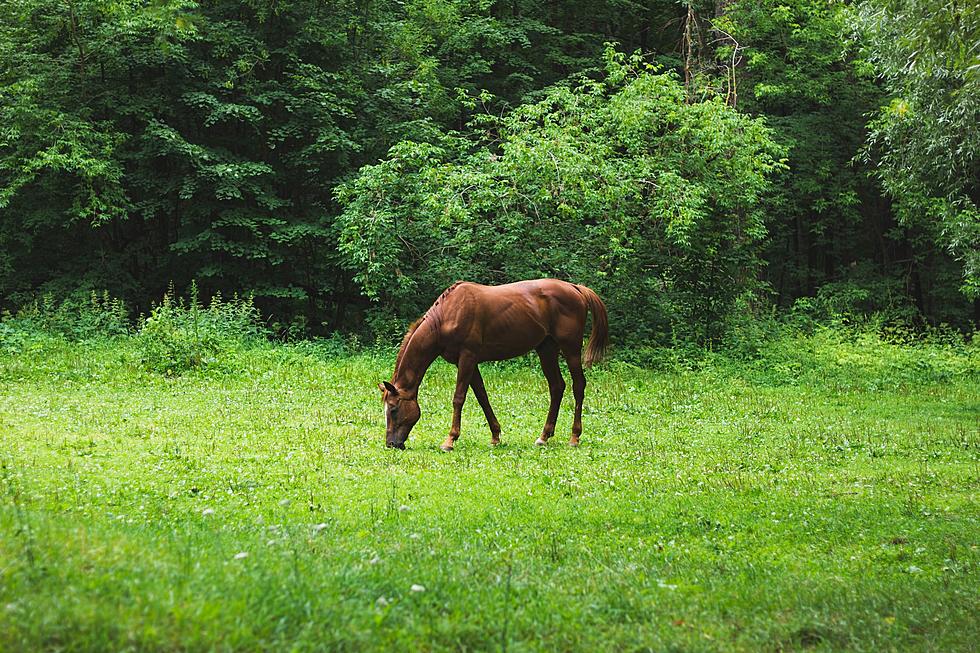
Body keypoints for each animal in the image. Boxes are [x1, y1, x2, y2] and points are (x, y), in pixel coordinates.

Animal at [380, 278, 604, 450]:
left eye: (393, 409)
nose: (391, 444)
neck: (447, 315)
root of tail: (576, 288)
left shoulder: (467, 357)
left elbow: (458, 398)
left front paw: (450, 440)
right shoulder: (469, 363)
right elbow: (482, 396)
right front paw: (495, 436)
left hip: (571, 350)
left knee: (578, 386)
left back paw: (574, 437)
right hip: (546, 350)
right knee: (557, 387)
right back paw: (544, 436)